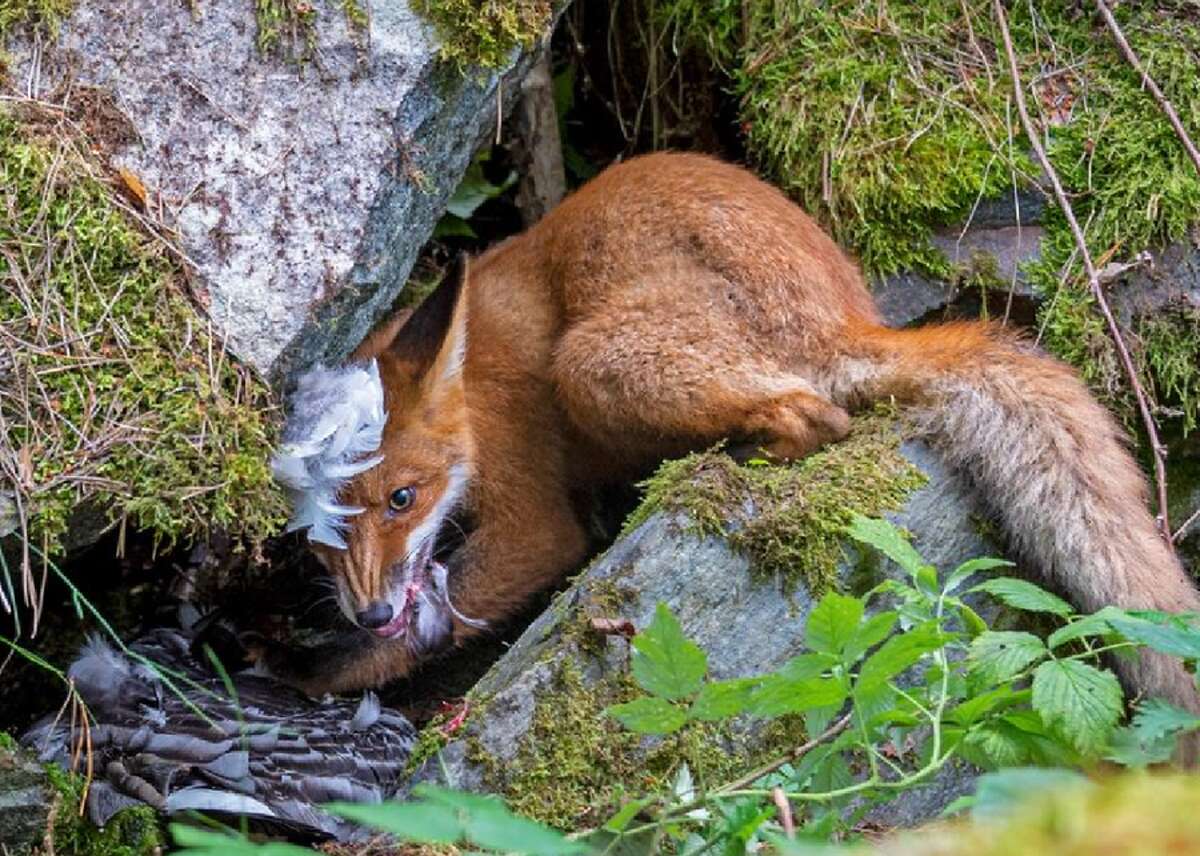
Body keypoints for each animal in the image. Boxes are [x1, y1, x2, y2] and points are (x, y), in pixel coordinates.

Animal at [272, 151, 1200, 720]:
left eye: (403, 497)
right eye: (320, 536)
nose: (373, 607)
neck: (475, 391)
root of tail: (849, 316)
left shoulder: (535, 518)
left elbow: (433, 621)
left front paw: (310, 670)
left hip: (595, 362)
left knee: (818, 414)